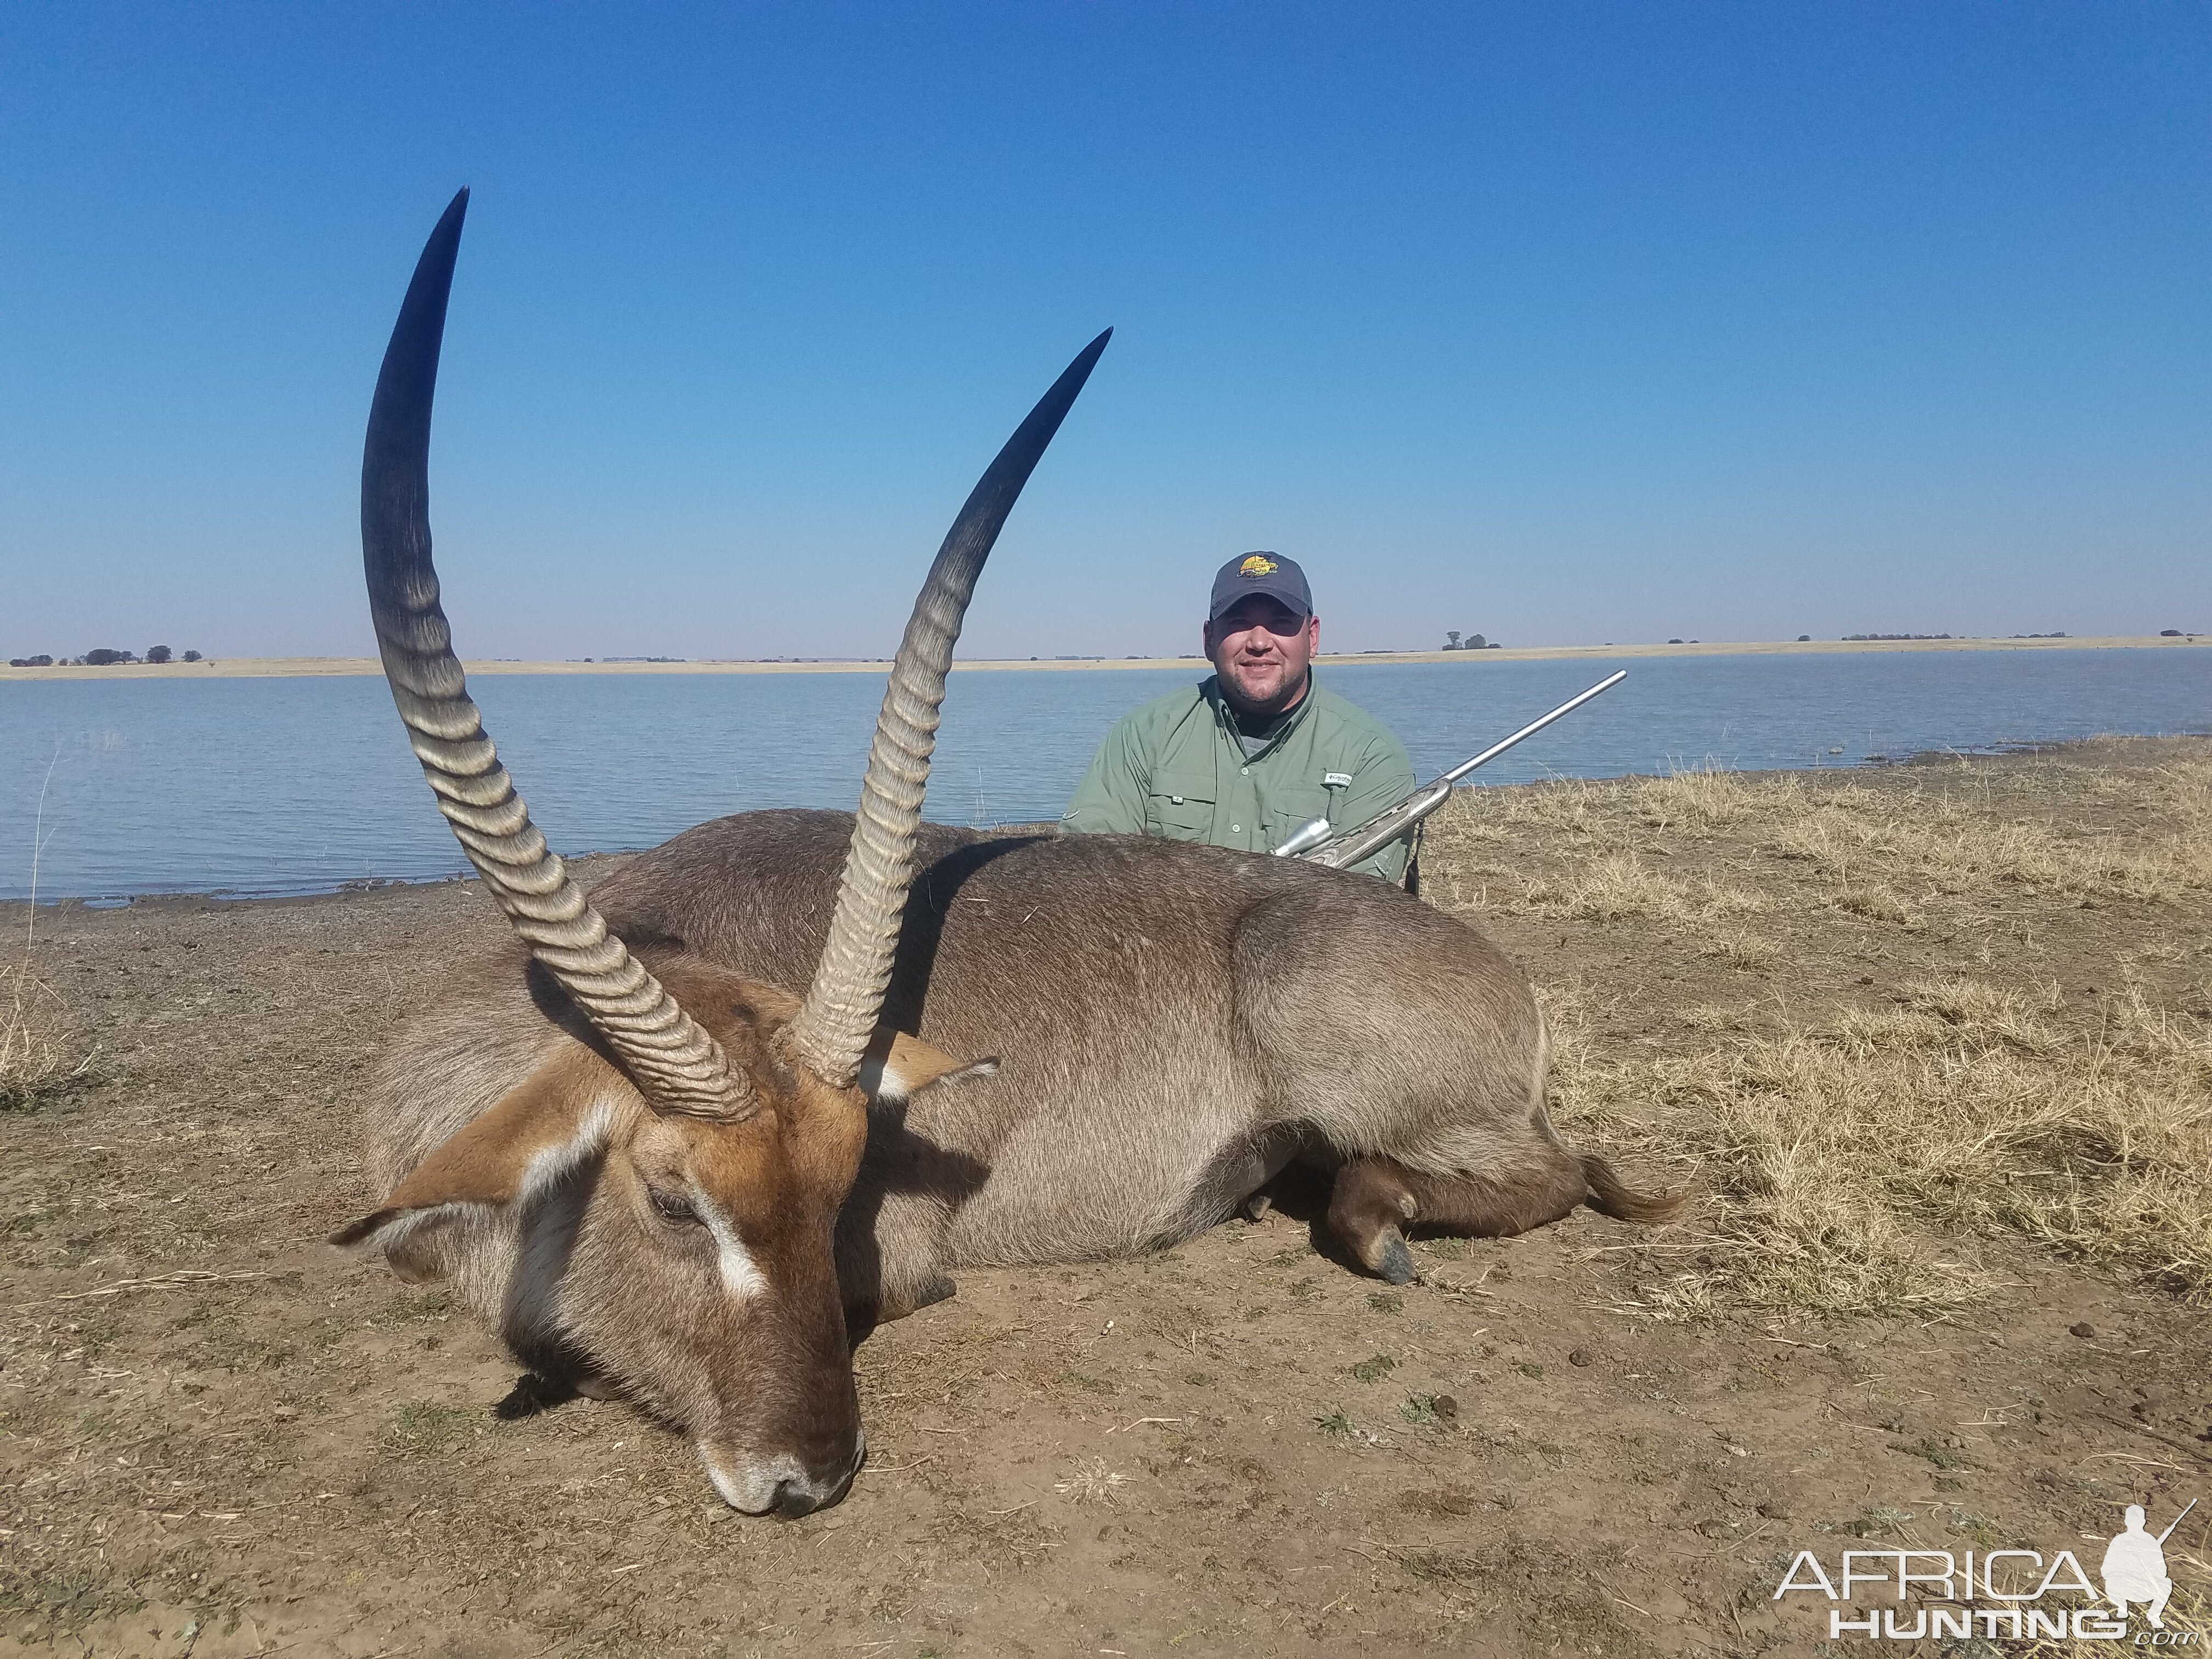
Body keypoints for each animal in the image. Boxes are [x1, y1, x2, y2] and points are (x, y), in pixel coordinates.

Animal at [336, 191, 1672, 1522]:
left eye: (844, 1190)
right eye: (671, 1199)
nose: (809, 1474)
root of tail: (1501, 976)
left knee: (1552, 1172)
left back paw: (1377, 1218)